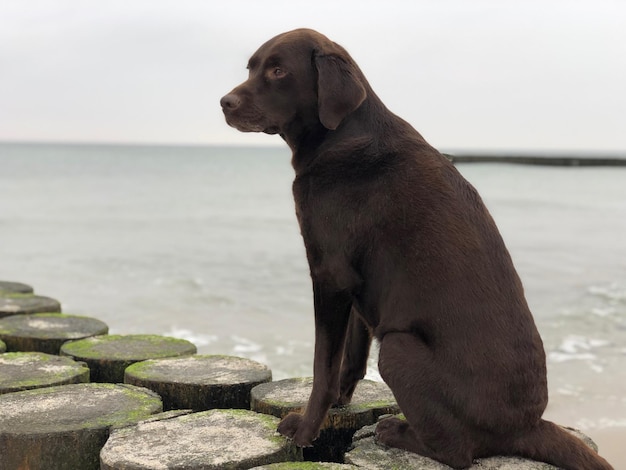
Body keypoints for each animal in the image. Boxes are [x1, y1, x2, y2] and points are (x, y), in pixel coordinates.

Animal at [219, 30, 608, 470]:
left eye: (278, 70)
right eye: (251, 68)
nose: (224, 103)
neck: (338, 135)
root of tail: (526, 425)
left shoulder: (329, 275)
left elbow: (323, 368)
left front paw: (305, 428)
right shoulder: (356, 287)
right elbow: (349, 361)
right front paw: (339, 405)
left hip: (397, 348)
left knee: (458, 452)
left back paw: (396, 431)